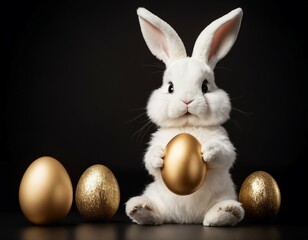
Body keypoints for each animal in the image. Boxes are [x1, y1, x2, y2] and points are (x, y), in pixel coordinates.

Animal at [125, 6, 245, 226]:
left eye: (205, 86)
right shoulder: (158, 138)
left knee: (218, 212)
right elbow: (148, 159)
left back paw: (226, 212)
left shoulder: (223, 139)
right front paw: (158, 156)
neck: (188, 126)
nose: (187, 101)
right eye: (170, 87)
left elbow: (226, 154)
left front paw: (209, 151)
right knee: (158, 214)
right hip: (155, 194)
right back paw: (140, 208)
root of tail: (186, 218)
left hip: (226, 194)